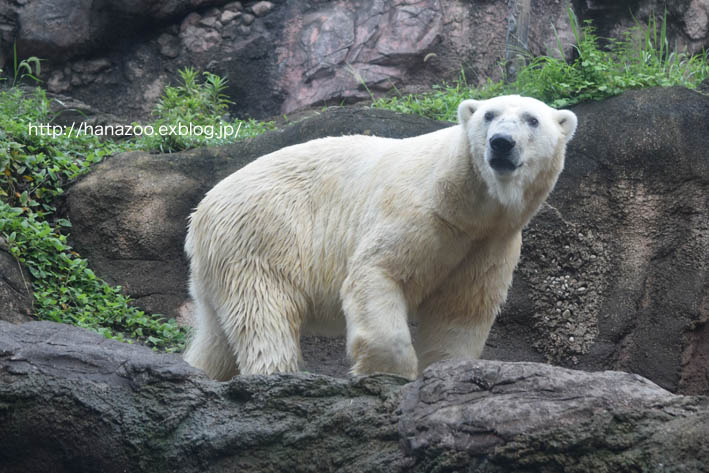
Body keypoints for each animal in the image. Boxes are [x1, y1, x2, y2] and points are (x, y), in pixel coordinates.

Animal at [181, 96, 576, 380]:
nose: (501, 143)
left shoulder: (490, 240)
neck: (463, 201)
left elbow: (461, 308)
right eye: (489, 115)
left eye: (532, 119)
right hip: (262, 235)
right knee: (264, 313)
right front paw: (384, 372)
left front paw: (448, 371)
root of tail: (200, 212)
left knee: (217, 336)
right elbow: (378, 272)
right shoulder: (417, 212)